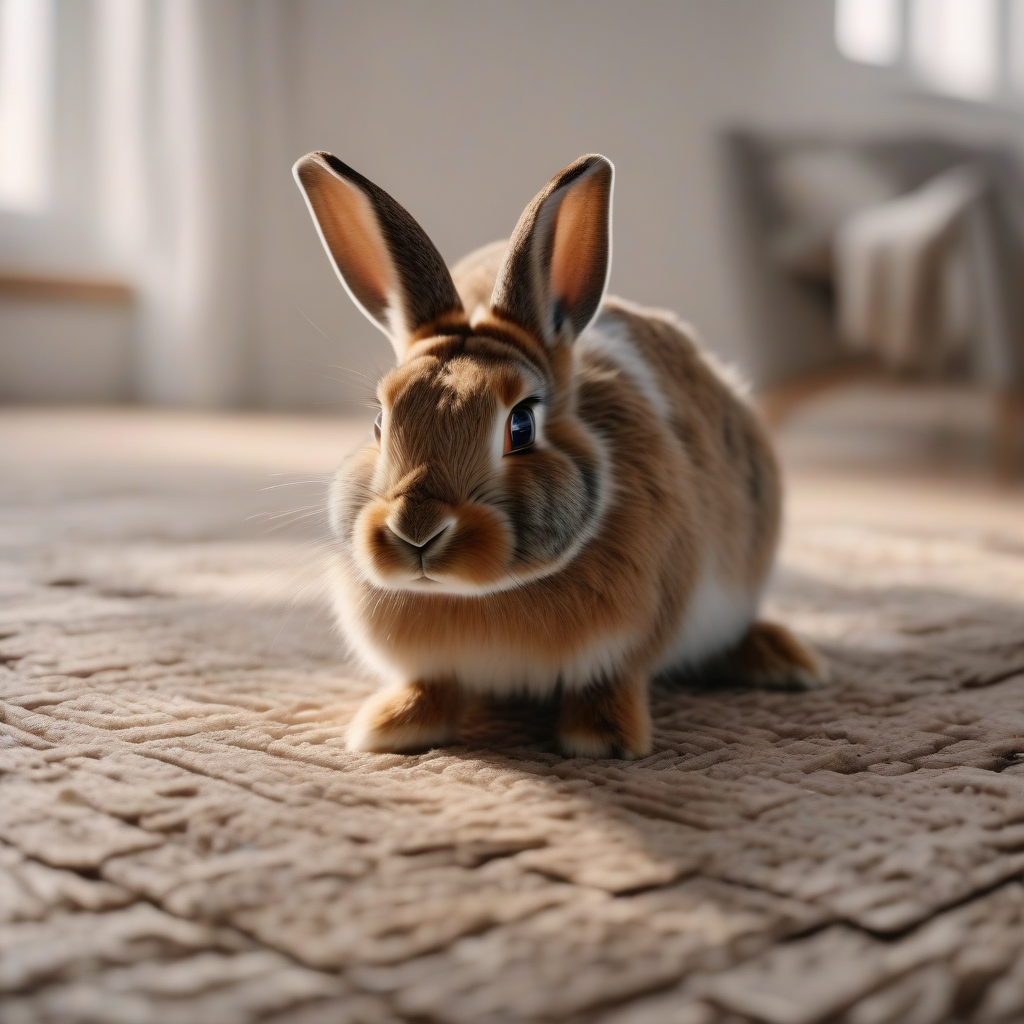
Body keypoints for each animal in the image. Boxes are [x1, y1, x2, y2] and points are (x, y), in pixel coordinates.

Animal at [293, 151, 826, 759]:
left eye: (521, 424)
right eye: (380, 422)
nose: (417, 529)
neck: (478, 596)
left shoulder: (629, 643)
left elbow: (610, 681)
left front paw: (604, 740)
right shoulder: (433, 667)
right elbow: (432, 686)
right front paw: (389, 729)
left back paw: (785, 662)